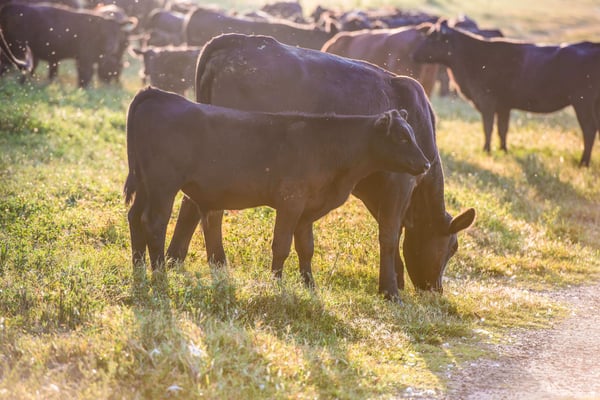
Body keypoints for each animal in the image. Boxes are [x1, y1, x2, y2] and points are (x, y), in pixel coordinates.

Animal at [0, 3, 136, 86]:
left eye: (117, 32)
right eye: (103, 31)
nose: (111, 46)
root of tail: (10, 7)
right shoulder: (85, 58)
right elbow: (85, 75)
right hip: (16, 47)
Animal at [124, 86, 428, 284]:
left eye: (412, 134)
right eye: (402, 137)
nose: (425, 164)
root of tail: (157, 93)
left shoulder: (307, 210)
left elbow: (306, 247)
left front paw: (309, 286)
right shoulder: (290, 202)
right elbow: (281, 244)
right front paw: (276, 284)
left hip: (145, 184)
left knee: (134, 217)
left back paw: (138, 268)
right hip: (163, 185)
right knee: (154, 222)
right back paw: (159, 273)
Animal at [166, 34, 476, 298]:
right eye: (453, 247)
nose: (436, 290)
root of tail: (235, 41)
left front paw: (395, 279)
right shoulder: (398, 182)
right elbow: (389, 234)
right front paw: (390, 290)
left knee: (191, 204)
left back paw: (174, 258)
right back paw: (213, 261)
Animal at [414, 18, 600, 166]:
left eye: (431, 37)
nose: (415, 52)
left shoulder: (487, 101)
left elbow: (488, 127)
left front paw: (486, 150)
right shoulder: (504, 106)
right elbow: (502, 129)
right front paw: (503, 150)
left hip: (582, 101)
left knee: (589, 129)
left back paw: (583, 163)